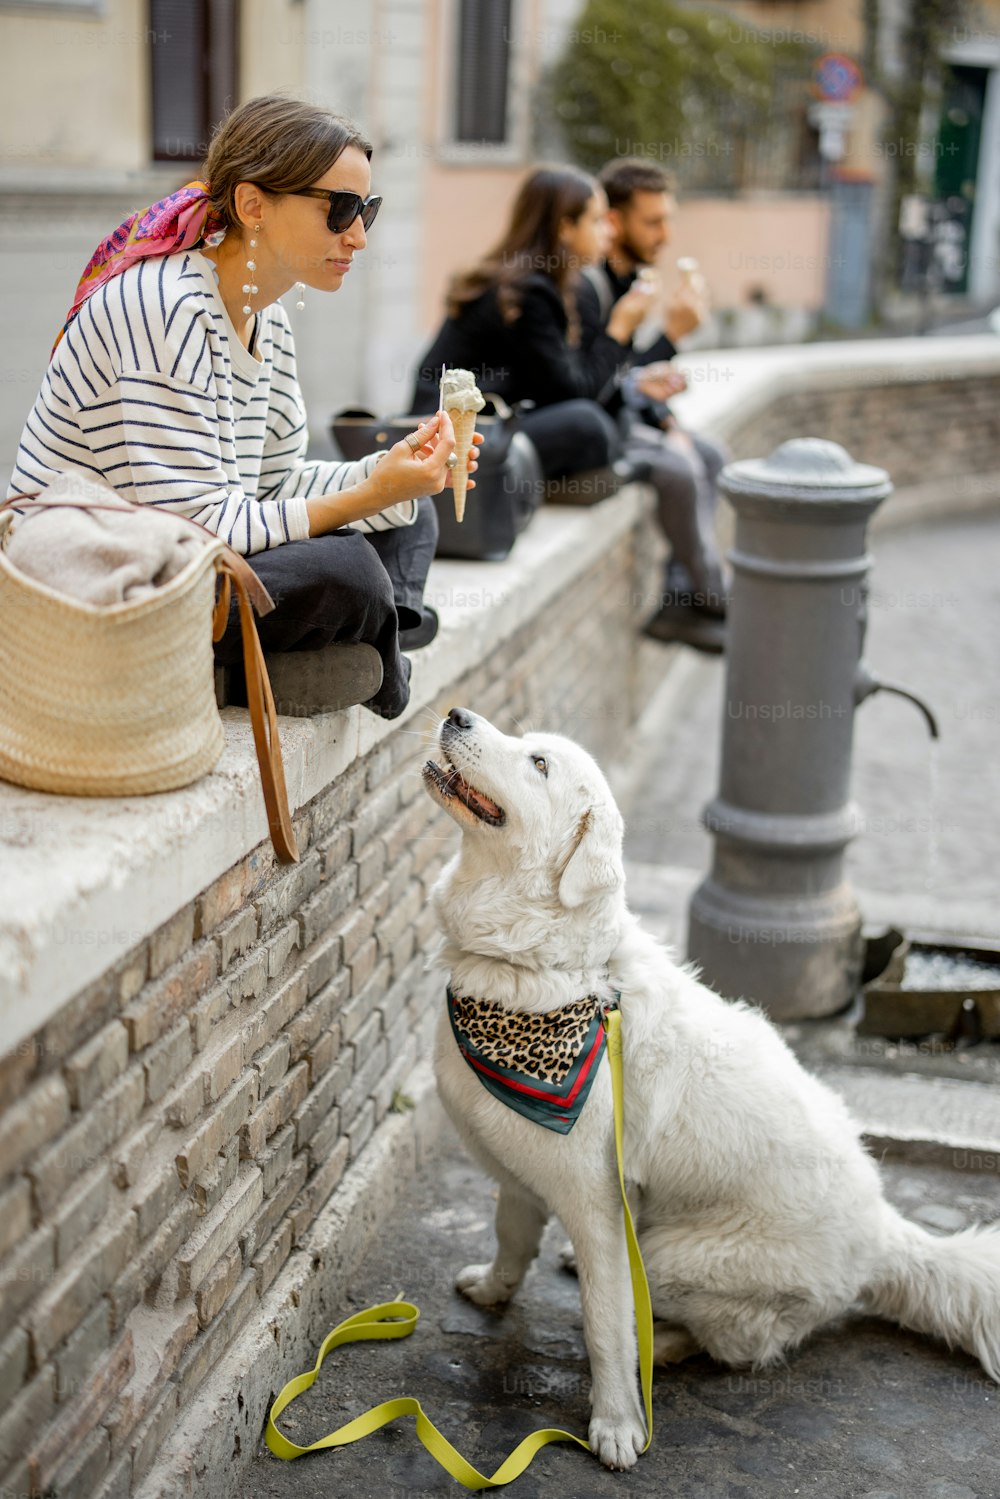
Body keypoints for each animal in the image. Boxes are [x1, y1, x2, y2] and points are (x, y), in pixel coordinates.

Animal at [422, 707, 1000, 1469]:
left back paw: (662, 1347)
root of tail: (884, 1230)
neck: (546, 968)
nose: (455, 714)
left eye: (538, 763)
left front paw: (616, 1423)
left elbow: (605, 1327)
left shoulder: (596, 1203)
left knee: (728, 1344)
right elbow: (512, 1240)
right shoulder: (520, 1176)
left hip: (679, 1256)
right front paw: (493, 1289)